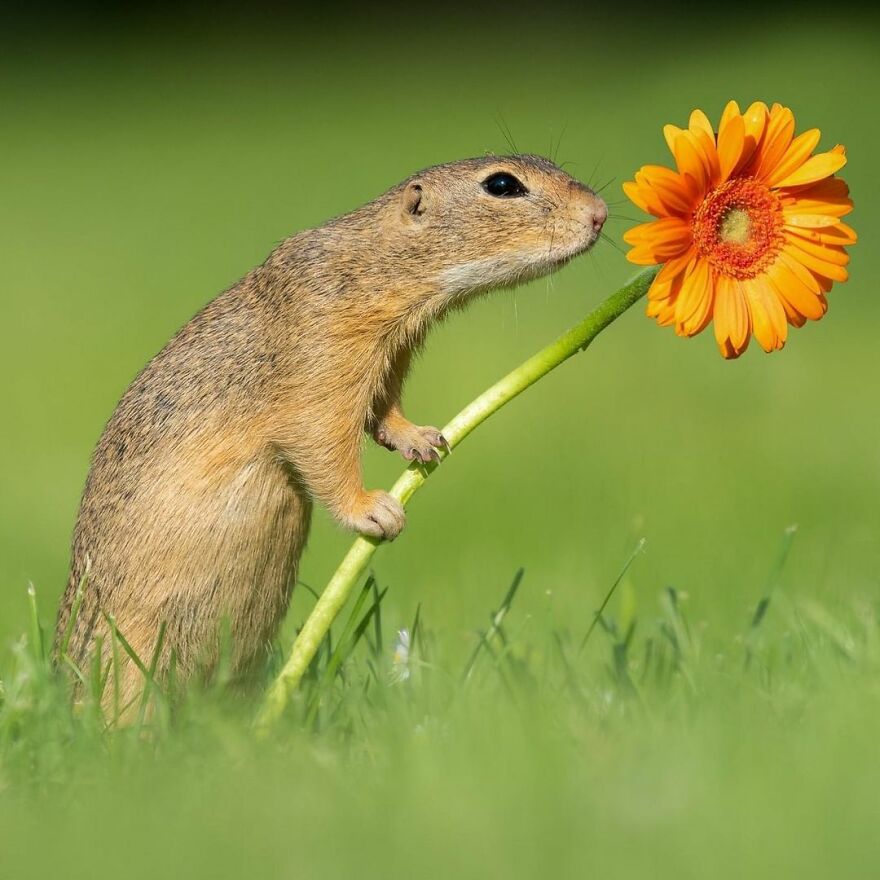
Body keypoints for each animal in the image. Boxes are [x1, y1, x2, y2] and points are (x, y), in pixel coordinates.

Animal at [53, 154, 607, 711]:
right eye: (502, 184)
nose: (601, 213)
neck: (374, 266)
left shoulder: (392, 354)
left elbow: (382, 412)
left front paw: (424, 439)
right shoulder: (321, 355)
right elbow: (321, 441)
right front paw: (374, 510)